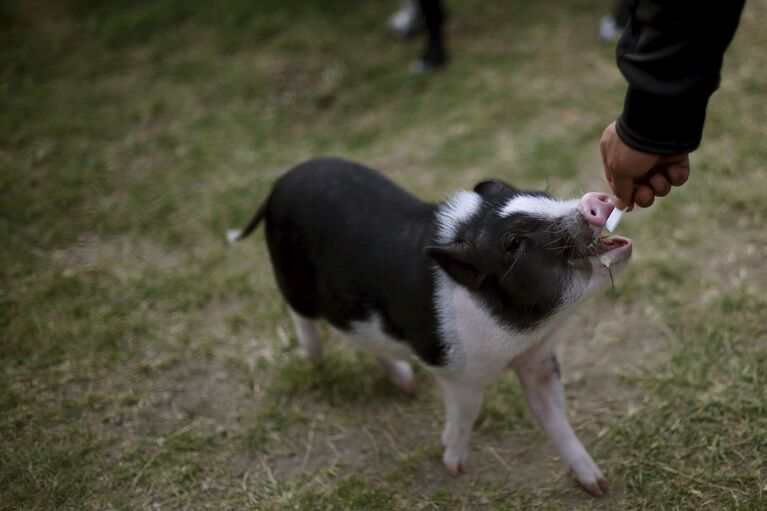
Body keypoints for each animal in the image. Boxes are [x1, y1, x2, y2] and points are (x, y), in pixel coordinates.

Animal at [226, 157, 632, 496]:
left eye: (542, 195)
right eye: (515, 243)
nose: (594, 200)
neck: (519, 337)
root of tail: (278, 185)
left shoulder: (538, 358)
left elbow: (553, 415)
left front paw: (598, 485)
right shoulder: (457, 372)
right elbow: (467, 413)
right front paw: (453, 466)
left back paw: (406, 383)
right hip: (292, 280)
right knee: (302, 317)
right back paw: (316, 358)